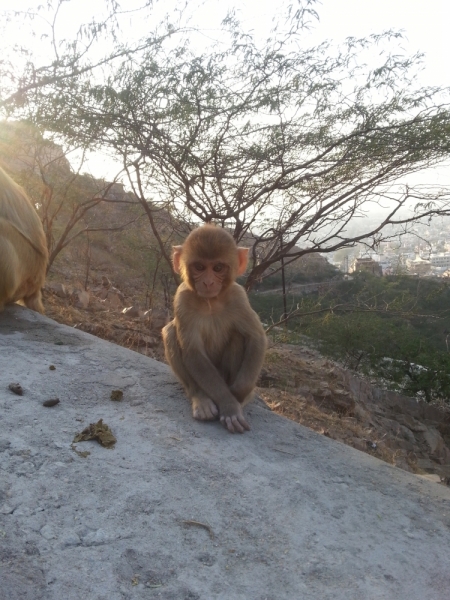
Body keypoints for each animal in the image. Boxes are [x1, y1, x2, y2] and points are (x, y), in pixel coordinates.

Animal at [163, 223, 266, 434]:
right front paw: (229, 404)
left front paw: (237, 396)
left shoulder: (238, 297)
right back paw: (200, 397)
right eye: (200, 267)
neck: (210, 302)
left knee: (238, 336)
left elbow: (256, 338)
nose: (208, 282)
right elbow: (193, 352)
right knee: (170, 332)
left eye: (218, 268)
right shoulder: (182, 299)